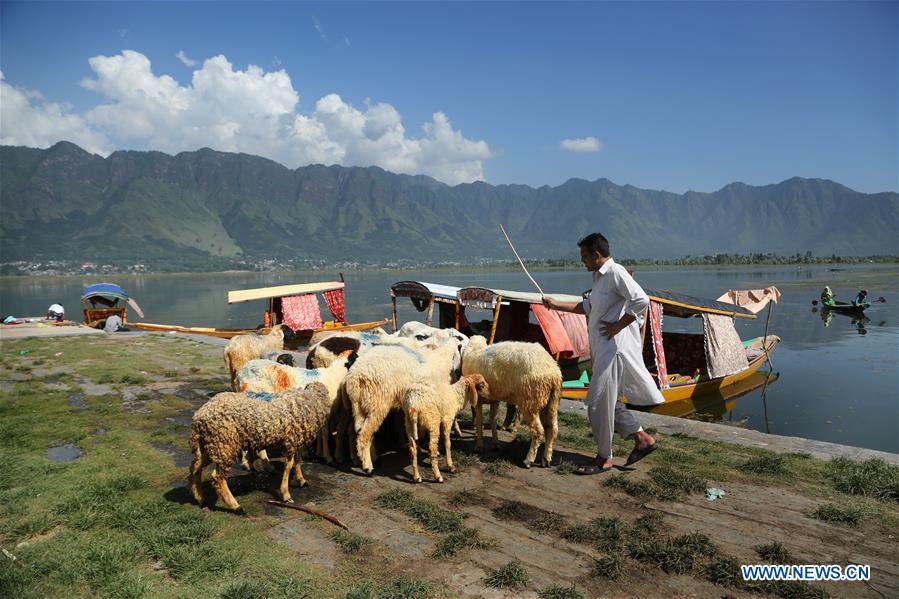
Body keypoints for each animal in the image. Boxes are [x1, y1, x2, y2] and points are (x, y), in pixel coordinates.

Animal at [187, 382, 330, 512]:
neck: (310, 400)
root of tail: (199, 417)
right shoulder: (291, 441)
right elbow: (289, 466)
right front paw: (286, 494)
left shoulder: (296, 440)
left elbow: (298, 461)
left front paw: (301, 480)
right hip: (224, 444)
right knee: (217, 477)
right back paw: (236, 506)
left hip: (211, 445)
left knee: (195, 467)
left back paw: (200, 498)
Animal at [342, 342, 460, 474]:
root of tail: (354, 375)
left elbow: (416, 430)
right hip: (377, 404)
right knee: (364, 435)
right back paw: (368, 467)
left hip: (358, 406)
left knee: (354, 431)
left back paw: (360, 459)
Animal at [464, 332, 564, 468]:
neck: (474, 349)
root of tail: (553, 372)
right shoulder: (494, 398)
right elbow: (492, 419)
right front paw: (495, 443)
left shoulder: (479, 400)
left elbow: (480, 421)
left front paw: (479, 446)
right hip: (551, 402)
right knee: (552, 429)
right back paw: (546, 459)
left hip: (530, 401)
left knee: (538, 432)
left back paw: (528, 460)